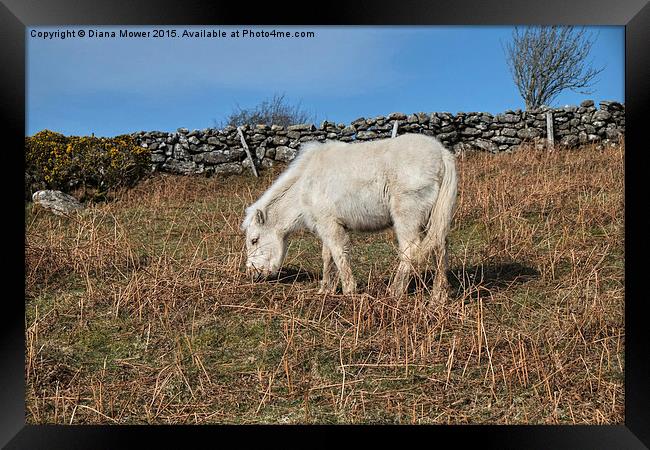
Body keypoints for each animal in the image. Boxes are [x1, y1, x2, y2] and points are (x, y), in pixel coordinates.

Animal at [240, 132, 458, 298]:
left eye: (254, 240)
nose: (252, 274)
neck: (304, 185)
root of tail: (442, 154)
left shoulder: (330, 225)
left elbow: (338, 254)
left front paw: (348, 290)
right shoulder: (326, 226)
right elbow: (327, 257)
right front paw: (325, 290)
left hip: (407, 216)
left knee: (410, 249)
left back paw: (395, 292)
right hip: (433, 217)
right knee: (440, 247)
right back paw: (439, 295)